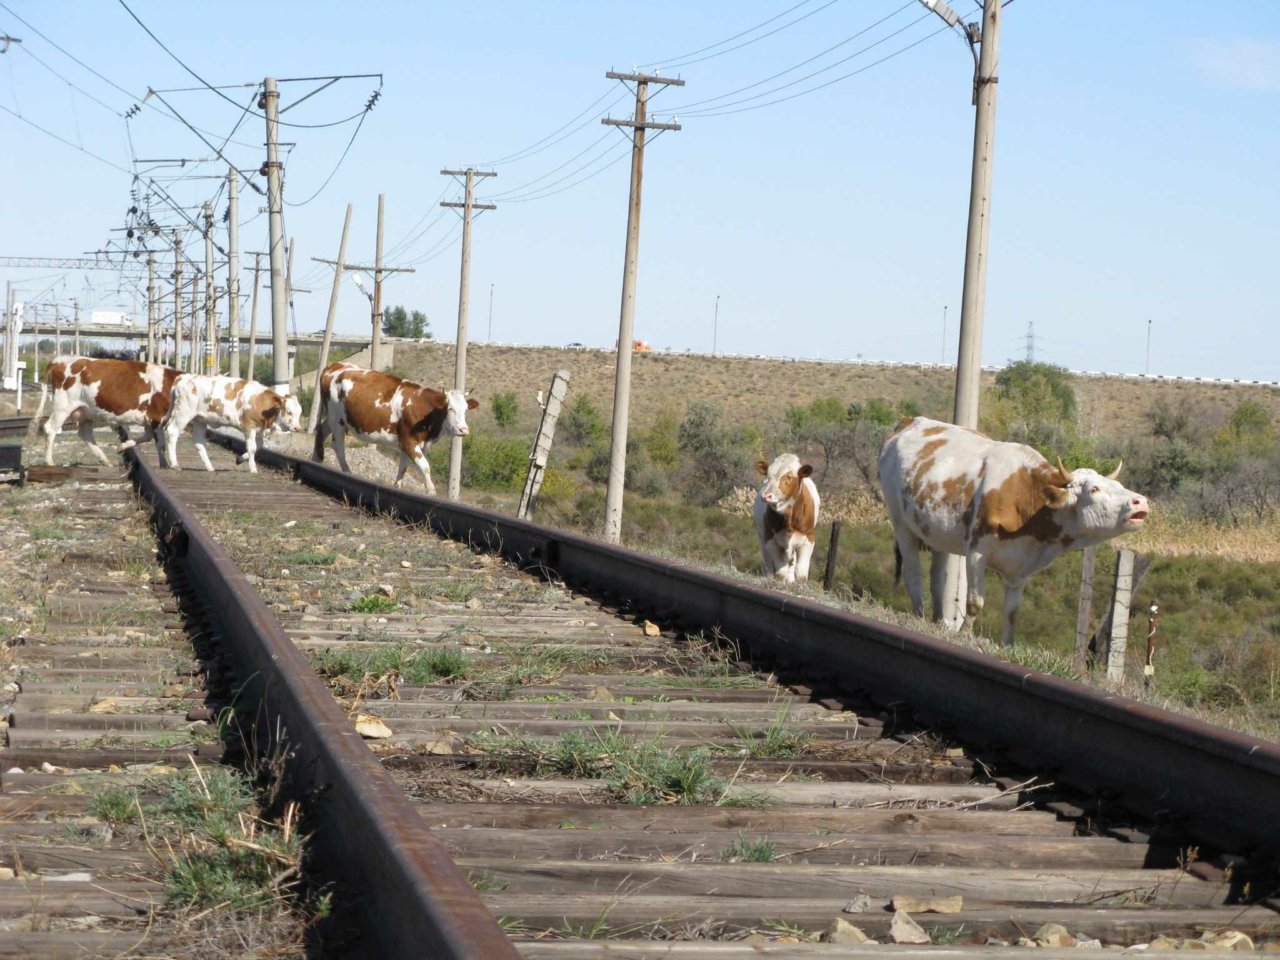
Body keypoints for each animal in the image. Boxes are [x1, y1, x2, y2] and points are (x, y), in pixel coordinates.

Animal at [35, 358, 183, 468]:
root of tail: (59, 360)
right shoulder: (157, 417)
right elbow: (160, 444)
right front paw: (164, 464)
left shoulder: (150, 420)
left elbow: (147, 437)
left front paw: (122, 446)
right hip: (63, 406)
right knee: (50, 428)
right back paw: (49, 461)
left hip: (85, 411)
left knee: (85, 433)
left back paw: (105, 460)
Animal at [163, 373, 303, 476]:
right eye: (289, 412)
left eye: (299, 413)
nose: (297, 428)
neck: (260, 401)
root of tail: (184, 377)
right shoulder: (249, 426)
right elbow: (252, 448)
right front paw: (253, 468)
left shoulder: (258, 429)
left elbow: (259, 446)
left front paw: (240, 459)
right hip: (183, 413)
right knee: (172, 432)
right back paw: (175, 464)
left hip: (200, 420)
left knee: (198, 442)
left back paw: (210, 467)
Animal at [312, 363, 478, 496]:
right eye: (450, 409)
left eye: (465, 410)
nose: (463, 430)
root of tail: (334, 366)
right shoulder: (409, 441)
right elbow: (425, 467)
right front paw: (431, 490)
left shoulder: (409, 444)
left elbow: (403, 468)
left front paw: (397, 487)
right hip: (337, 420)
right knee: (338, 445)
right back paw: (347, 471)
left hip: (334, 419)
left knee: (321, 431)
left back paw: (317, 459)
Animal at [747, 453, 819, 583]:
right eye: (768, 476)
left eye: (788, 477)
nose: (766, 496)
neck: (789, 516)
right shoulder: (770, 539)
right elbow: (781, 573)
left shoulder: (809, 538)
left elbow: (801, 574)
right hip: (762, 535)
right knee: (767, 562)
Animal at [880, 414, 1152, 647]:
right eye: (1094, 489)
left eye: (1119, 485)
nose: (1140, 501)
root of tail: (910, 421)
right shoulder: (977, 551)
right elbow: (975, 601)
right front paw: (964, 634)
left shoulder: (1022, 568)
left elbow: (1012, 612)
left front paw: (1007, 645)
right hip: (900, 522)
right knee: (913, 572)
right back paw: (919, 615)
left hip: (937, 533)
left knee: (938, 577)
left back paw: (938, 620)